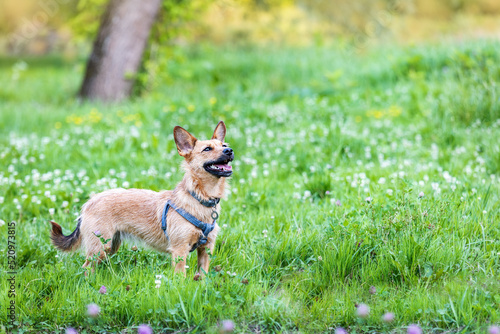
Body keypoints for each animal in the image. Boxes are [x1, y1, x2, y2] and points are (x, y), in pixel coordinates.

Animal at [48, 121, 232, 278]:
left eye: (224, 146)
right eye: (207, 149)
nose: (229, 151)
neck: (200, 198)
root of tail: (89, 202)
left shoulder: (206, 250)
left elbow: (203, 275)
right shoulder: (179, 251)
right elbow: (180, 277)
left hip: (110, 246)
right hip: (100, 247)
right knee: (86, 267)